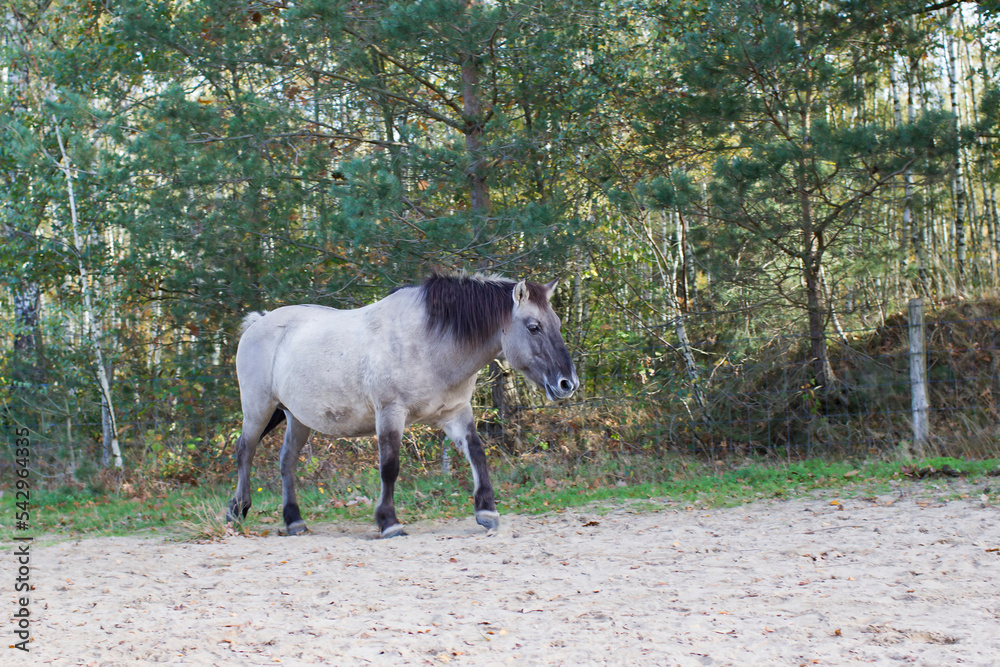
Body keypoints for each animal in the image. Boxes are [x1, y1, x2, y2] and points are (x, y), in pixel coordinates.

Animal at [226, 272, 579, 537]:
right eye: (533, 327)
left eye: (558, 323)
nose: (568, 383)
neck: (428, 342)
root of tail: (258, 322)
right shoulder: (390, 413)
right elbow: (390, 466)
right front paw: (389, 522)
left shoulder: (455, 412)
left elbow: (477, 453)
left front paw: (487, 512)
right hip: (258, 408)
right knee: (246, 451)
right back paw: (238, 510)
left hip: (297, 418)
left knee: (286, 460)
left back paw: (294, 520)